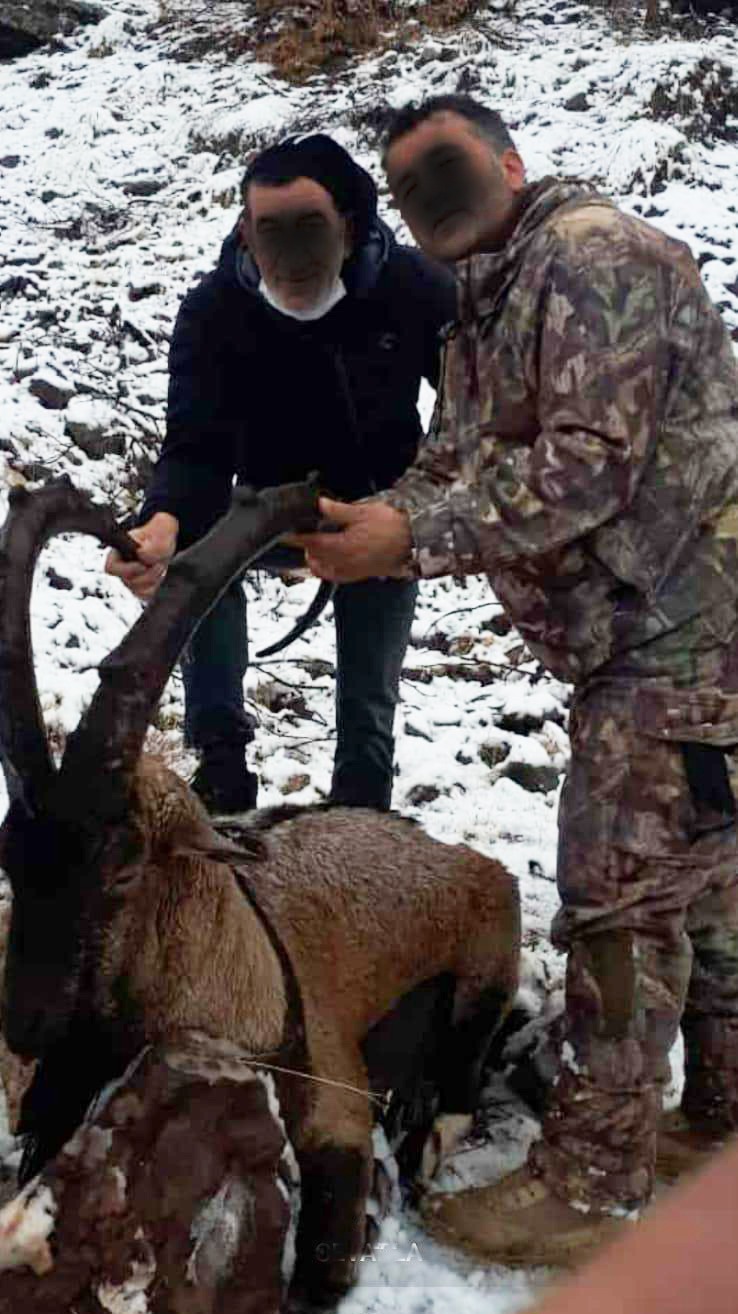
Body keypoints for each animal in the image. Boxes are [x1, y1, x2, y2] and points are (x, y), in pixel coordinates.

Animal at [0, 475, 520, 1311]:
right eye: (11, 857)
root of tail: (469, 863)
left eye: (122, 867)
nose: (27, 1024)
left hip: (486, 970)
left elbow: (324, 1262)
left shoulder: (337, 1110)